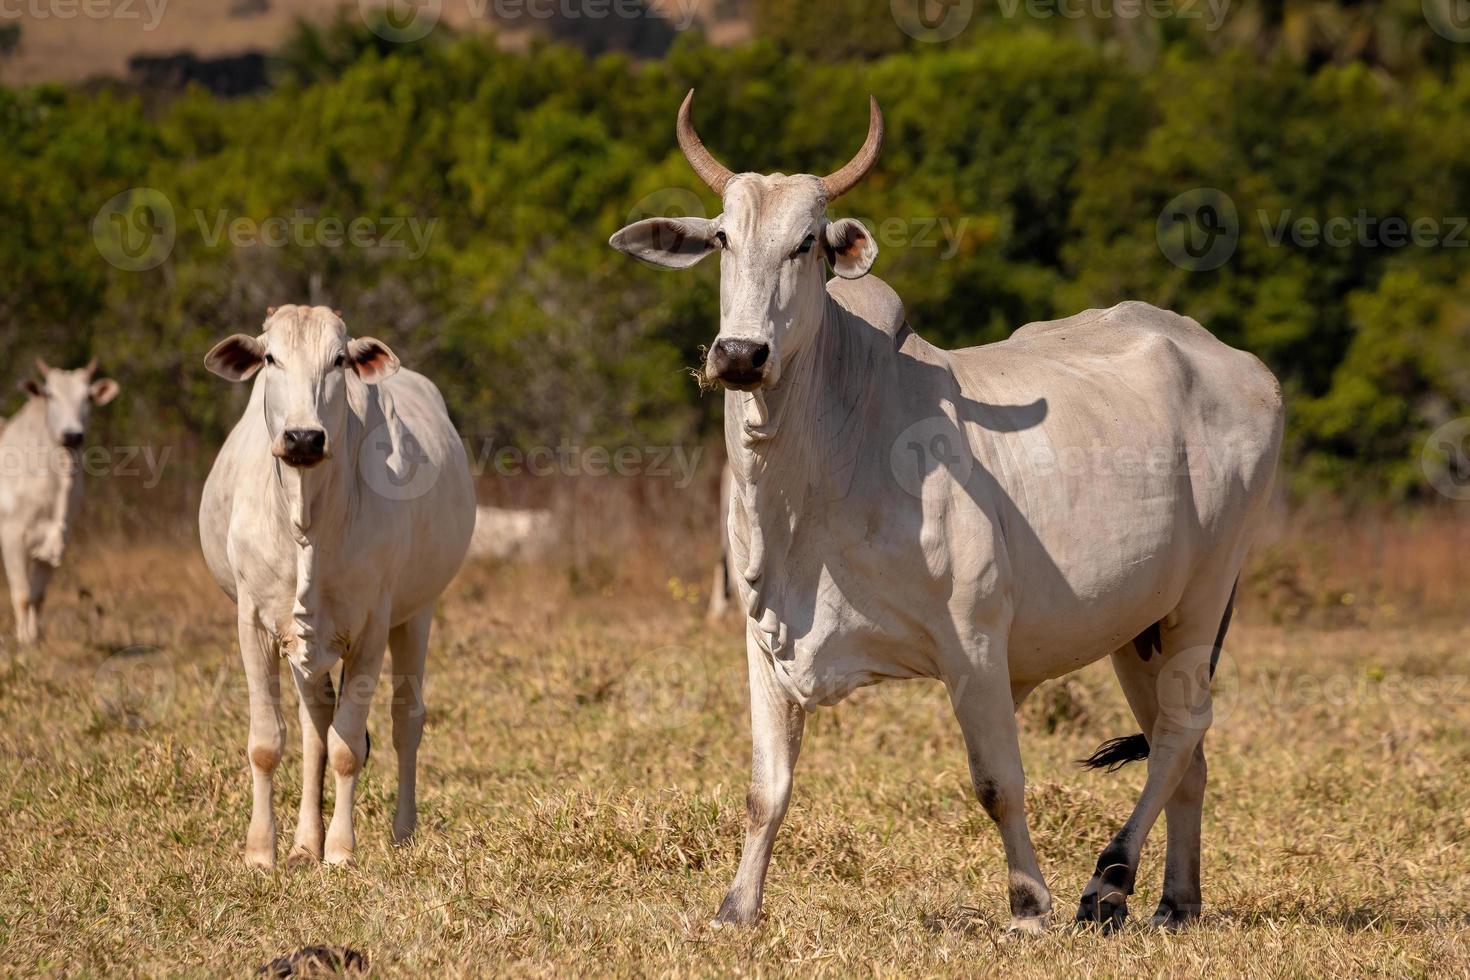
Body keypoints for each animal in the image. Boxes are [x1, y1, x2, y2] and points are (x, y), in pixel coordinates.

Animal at [198, 307, 473, 863]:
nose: (304, 438)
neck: (308, 518)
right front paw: (262, 851)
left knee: (404, 721)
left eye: (340, 360)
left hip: (416, 615)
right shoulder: (254, 623)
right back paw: (306, 841)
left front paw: (342, 850)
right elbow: (270, 741)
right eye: (270, 357)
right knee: (314, 726)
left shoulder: (371, 628)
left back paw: (402, 832)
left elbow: (349, 746)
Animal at [605, 94, 1275, 934]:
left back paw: (1108, 880)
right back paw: (1174, 900)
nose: (739, 355)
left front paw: (1028, 904)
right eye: (723, 237)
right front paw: (738, 907)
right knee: (1179, 748)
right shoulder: (765, 642)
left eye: (807, 244)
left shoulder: (976, 643)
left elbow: (998, 783)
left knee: (1183, 732)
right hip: (1138, 624)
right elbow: (767, 791)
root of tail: (1244, 367)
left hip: (1205, 592)